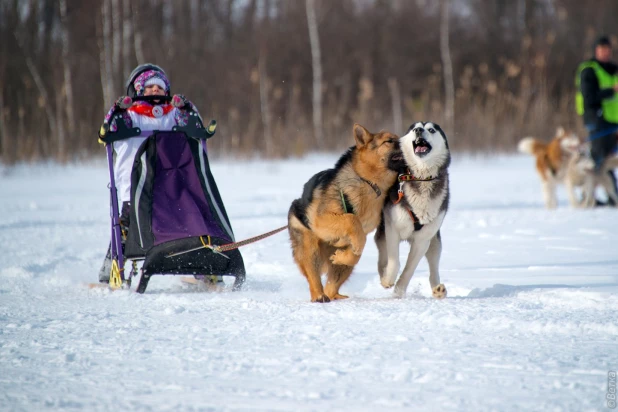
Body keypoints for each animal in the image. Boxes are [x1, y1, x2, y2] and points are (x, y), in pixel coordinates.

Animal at [286, 124, 402, 300]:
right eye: (389, 141)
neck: (367, 182)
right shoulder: (321, 220)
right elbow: (351, 219)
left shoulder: (360, 234)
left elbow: (356, 252)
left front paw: (343, 256)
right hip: (310, 249)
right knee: (314, 279)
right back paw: (319, 296)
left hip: (341, 269)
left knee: (331, 286)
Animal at [370, 120, 448, 298]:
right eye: (414, 128)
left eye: (431, 130)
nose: (419, 130)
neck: (421, 178)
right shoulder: (392, 227)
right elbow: (394, 262)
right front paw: (388, 280)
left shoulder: (423, 240)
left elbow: (409, 269)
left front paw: (398, 292)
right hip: (383, 231)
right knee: (382, 256)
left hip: (435, 241)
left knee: (434, 266)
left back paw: (438, 290)